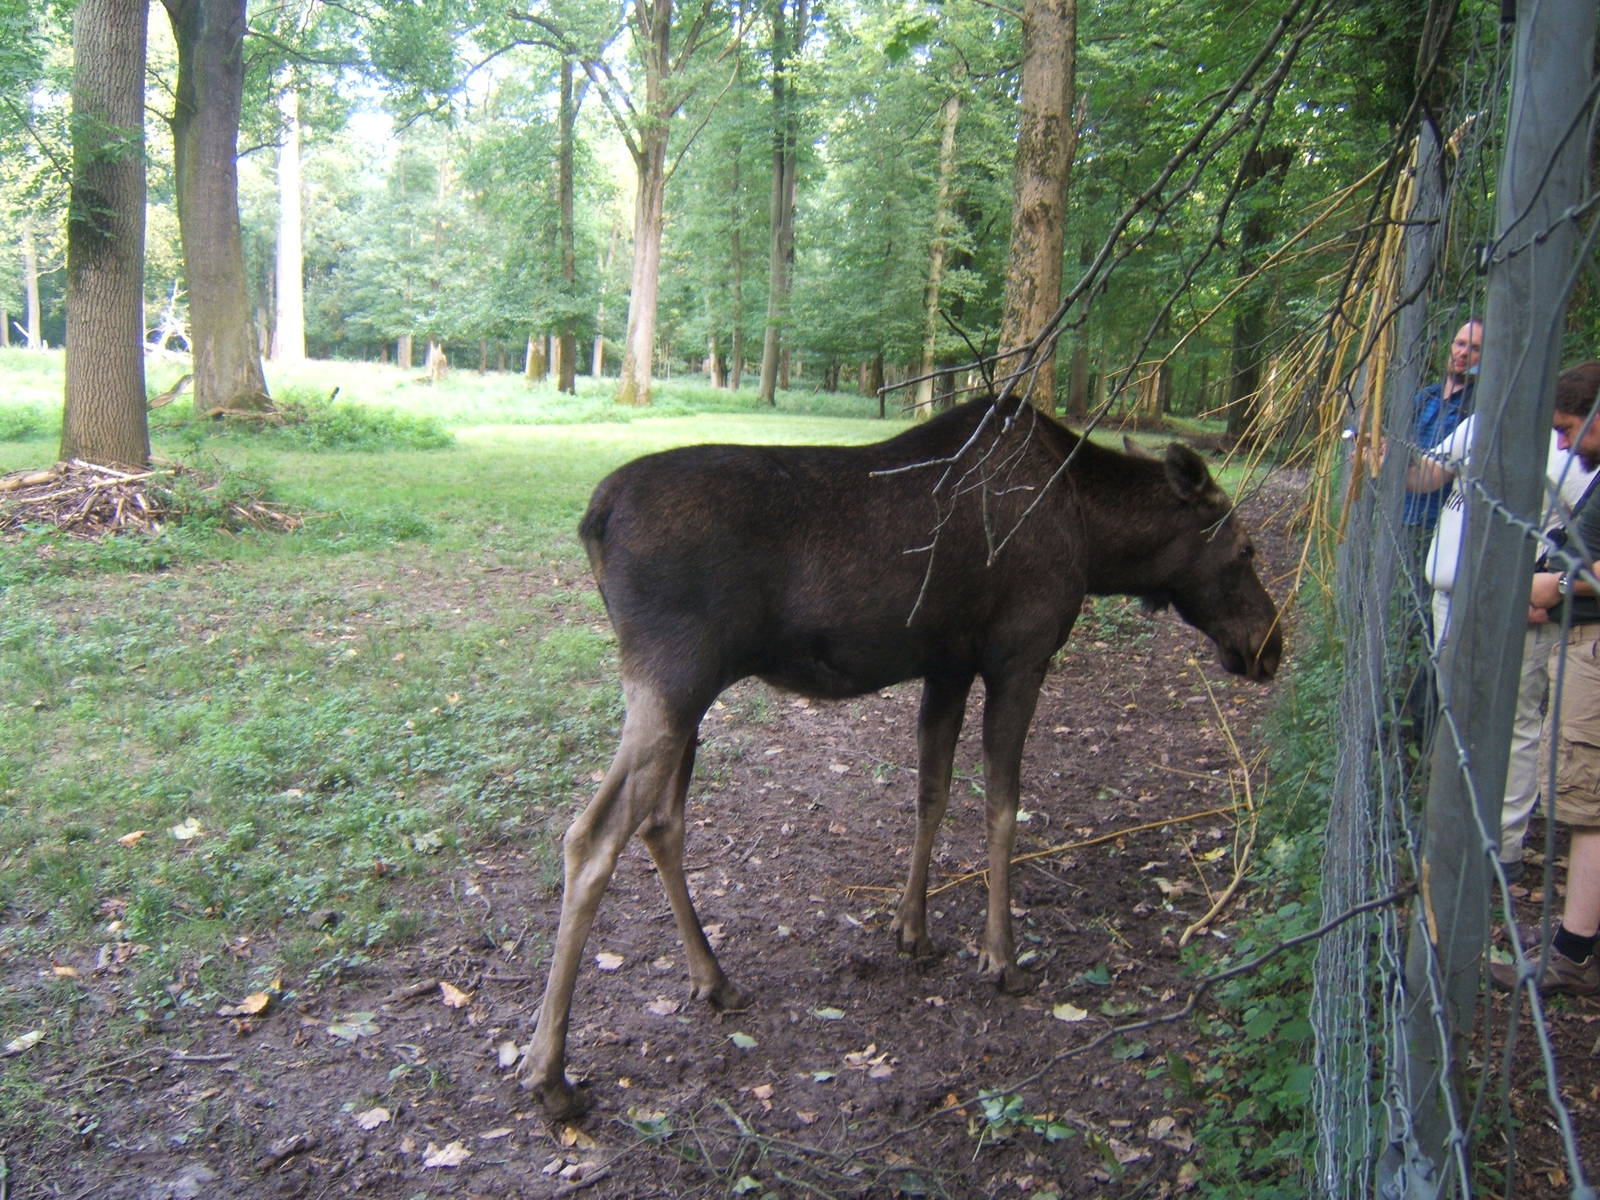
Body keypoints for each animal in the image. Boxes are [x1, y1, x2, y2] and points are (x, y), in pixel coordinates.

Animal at [519, 393, 1284, 1118]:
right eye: (1245, 549)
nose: (1270, 647)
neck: (1100, 546)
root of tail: (594, 517)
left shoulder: (947, 664)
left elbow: (932, 792)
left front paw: (912, 929)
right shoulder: (1020, 653)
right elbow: (1003, 805)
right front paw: (1001, 954)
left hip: (691, 690)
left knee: (661, 822)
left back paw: (714, 979)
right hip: (672, 675)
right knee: (592, 836)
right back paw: (550, 1072)